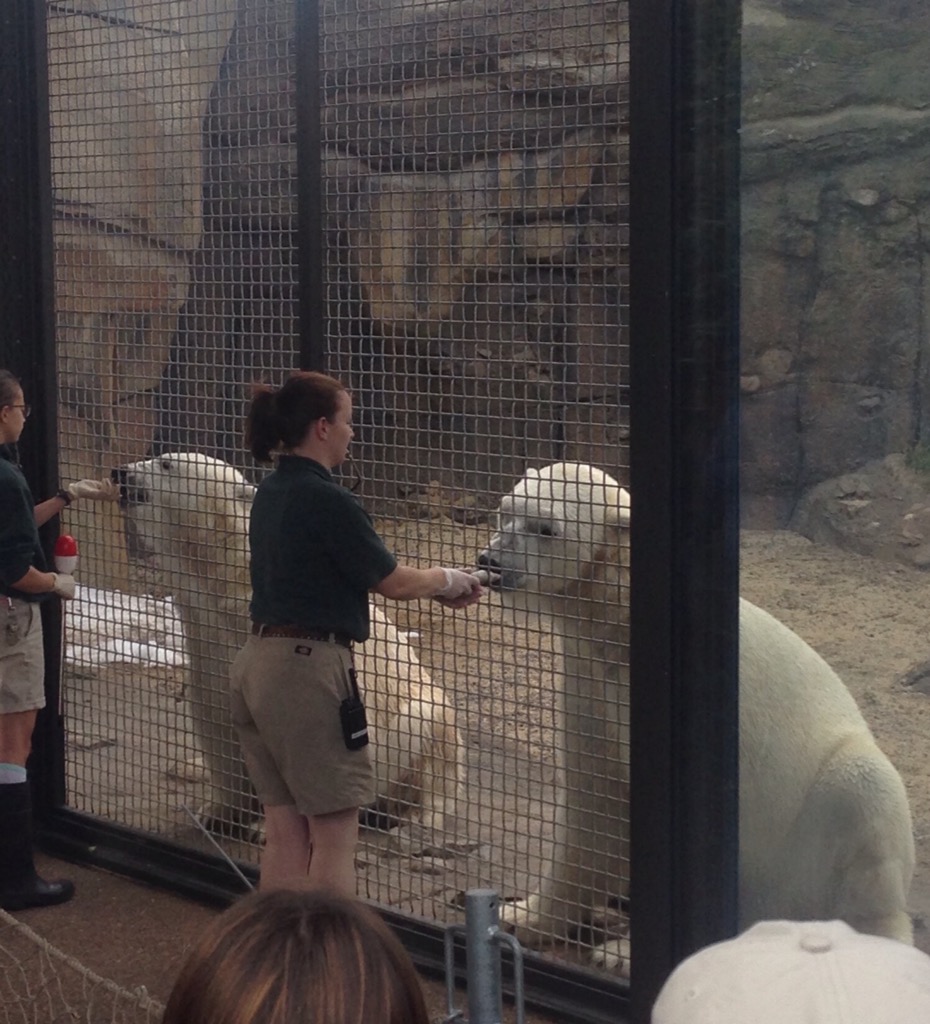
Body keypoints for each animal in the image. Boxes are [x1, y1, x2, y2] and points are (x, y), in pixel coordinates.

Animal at [476, 461, 915, 971]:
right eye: (505, 510)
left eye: (546, 528)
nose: (491, 562)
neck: (620, 620)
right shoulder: (588, 674)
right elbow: (593, 794)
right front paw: (521, 915)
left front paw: (621, 954)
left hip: (817, 818)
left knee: (864, 804)